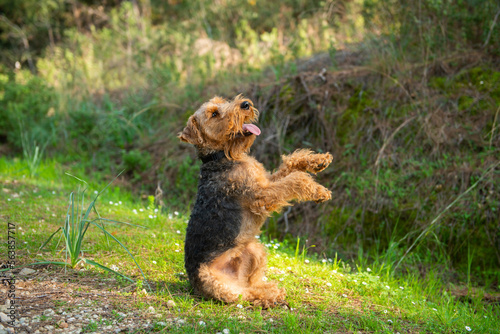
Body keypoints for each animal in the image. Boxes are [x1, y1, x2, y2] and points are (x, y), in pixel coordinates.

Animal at [177, 95, 332, 306]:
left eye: (222, 101)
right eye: (214, 114)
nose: (245, 105)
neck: (222, 157)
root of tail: (194, 286)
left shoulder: (266, 181)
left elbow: (290, 164)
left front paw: (318, 161)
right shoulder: (261, 195)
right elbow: (296, 179)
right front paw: (319, 191)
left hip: (253, 249)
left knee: (251, 283)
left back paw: (271, 290)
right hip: (218, 282)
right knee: (245, 294)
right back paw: (271, 296)